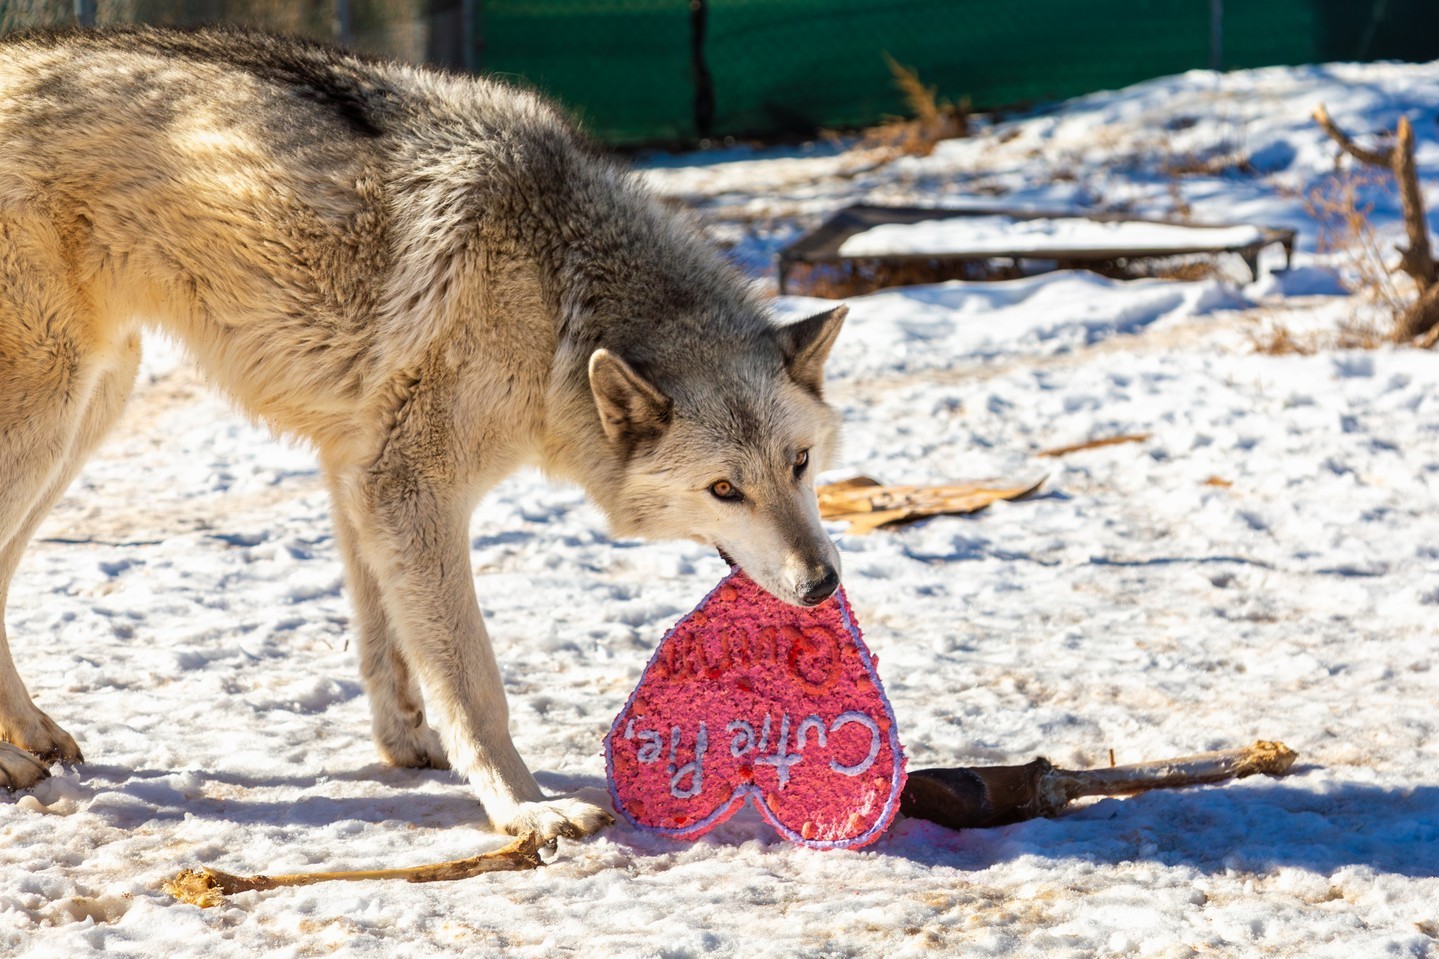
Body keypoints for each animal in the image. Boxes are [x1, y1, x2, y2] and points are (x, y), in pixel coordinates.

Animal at [0, 26, 846, 840]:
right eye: (724, 489)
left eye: (799, 463)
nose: (821, 583)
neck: (558, 293)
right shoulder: (410, 486)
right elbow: (472, 679)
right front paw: (523, 807)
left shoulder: (357, 472)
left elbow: (389, 645)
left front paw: (409, 744)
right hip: (50, 416)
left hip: (89, 410)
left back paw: (29, 738)